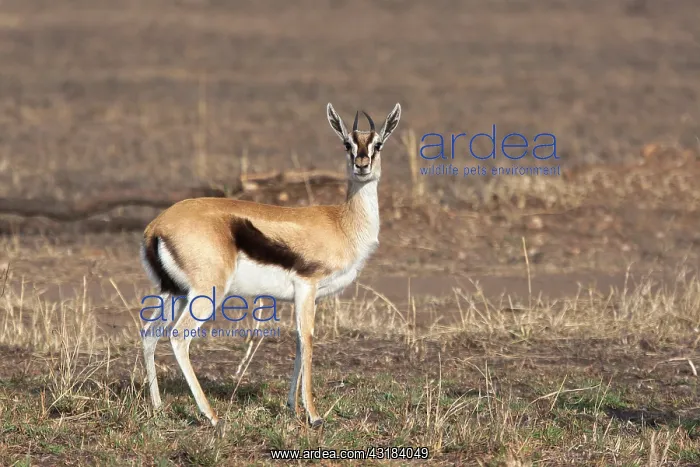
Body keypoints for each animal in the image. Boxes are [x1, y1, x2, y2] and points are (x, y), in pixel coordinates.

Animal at [139, 102, 402, 430]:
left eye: (378, 144)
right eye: (347, 144)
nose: (362, 164)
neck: (342, 224)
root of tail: (157, 226)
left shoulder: (309, 296)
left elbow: (300, 343)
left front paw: (293, 407)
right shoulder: (307, 286)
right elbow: (308, 340)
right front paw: (314, 415)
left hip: (173, 292)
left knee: (149, 334)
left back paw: (158, 409)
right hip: (206, 293)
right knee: (178, 336)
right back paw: (212, 416)